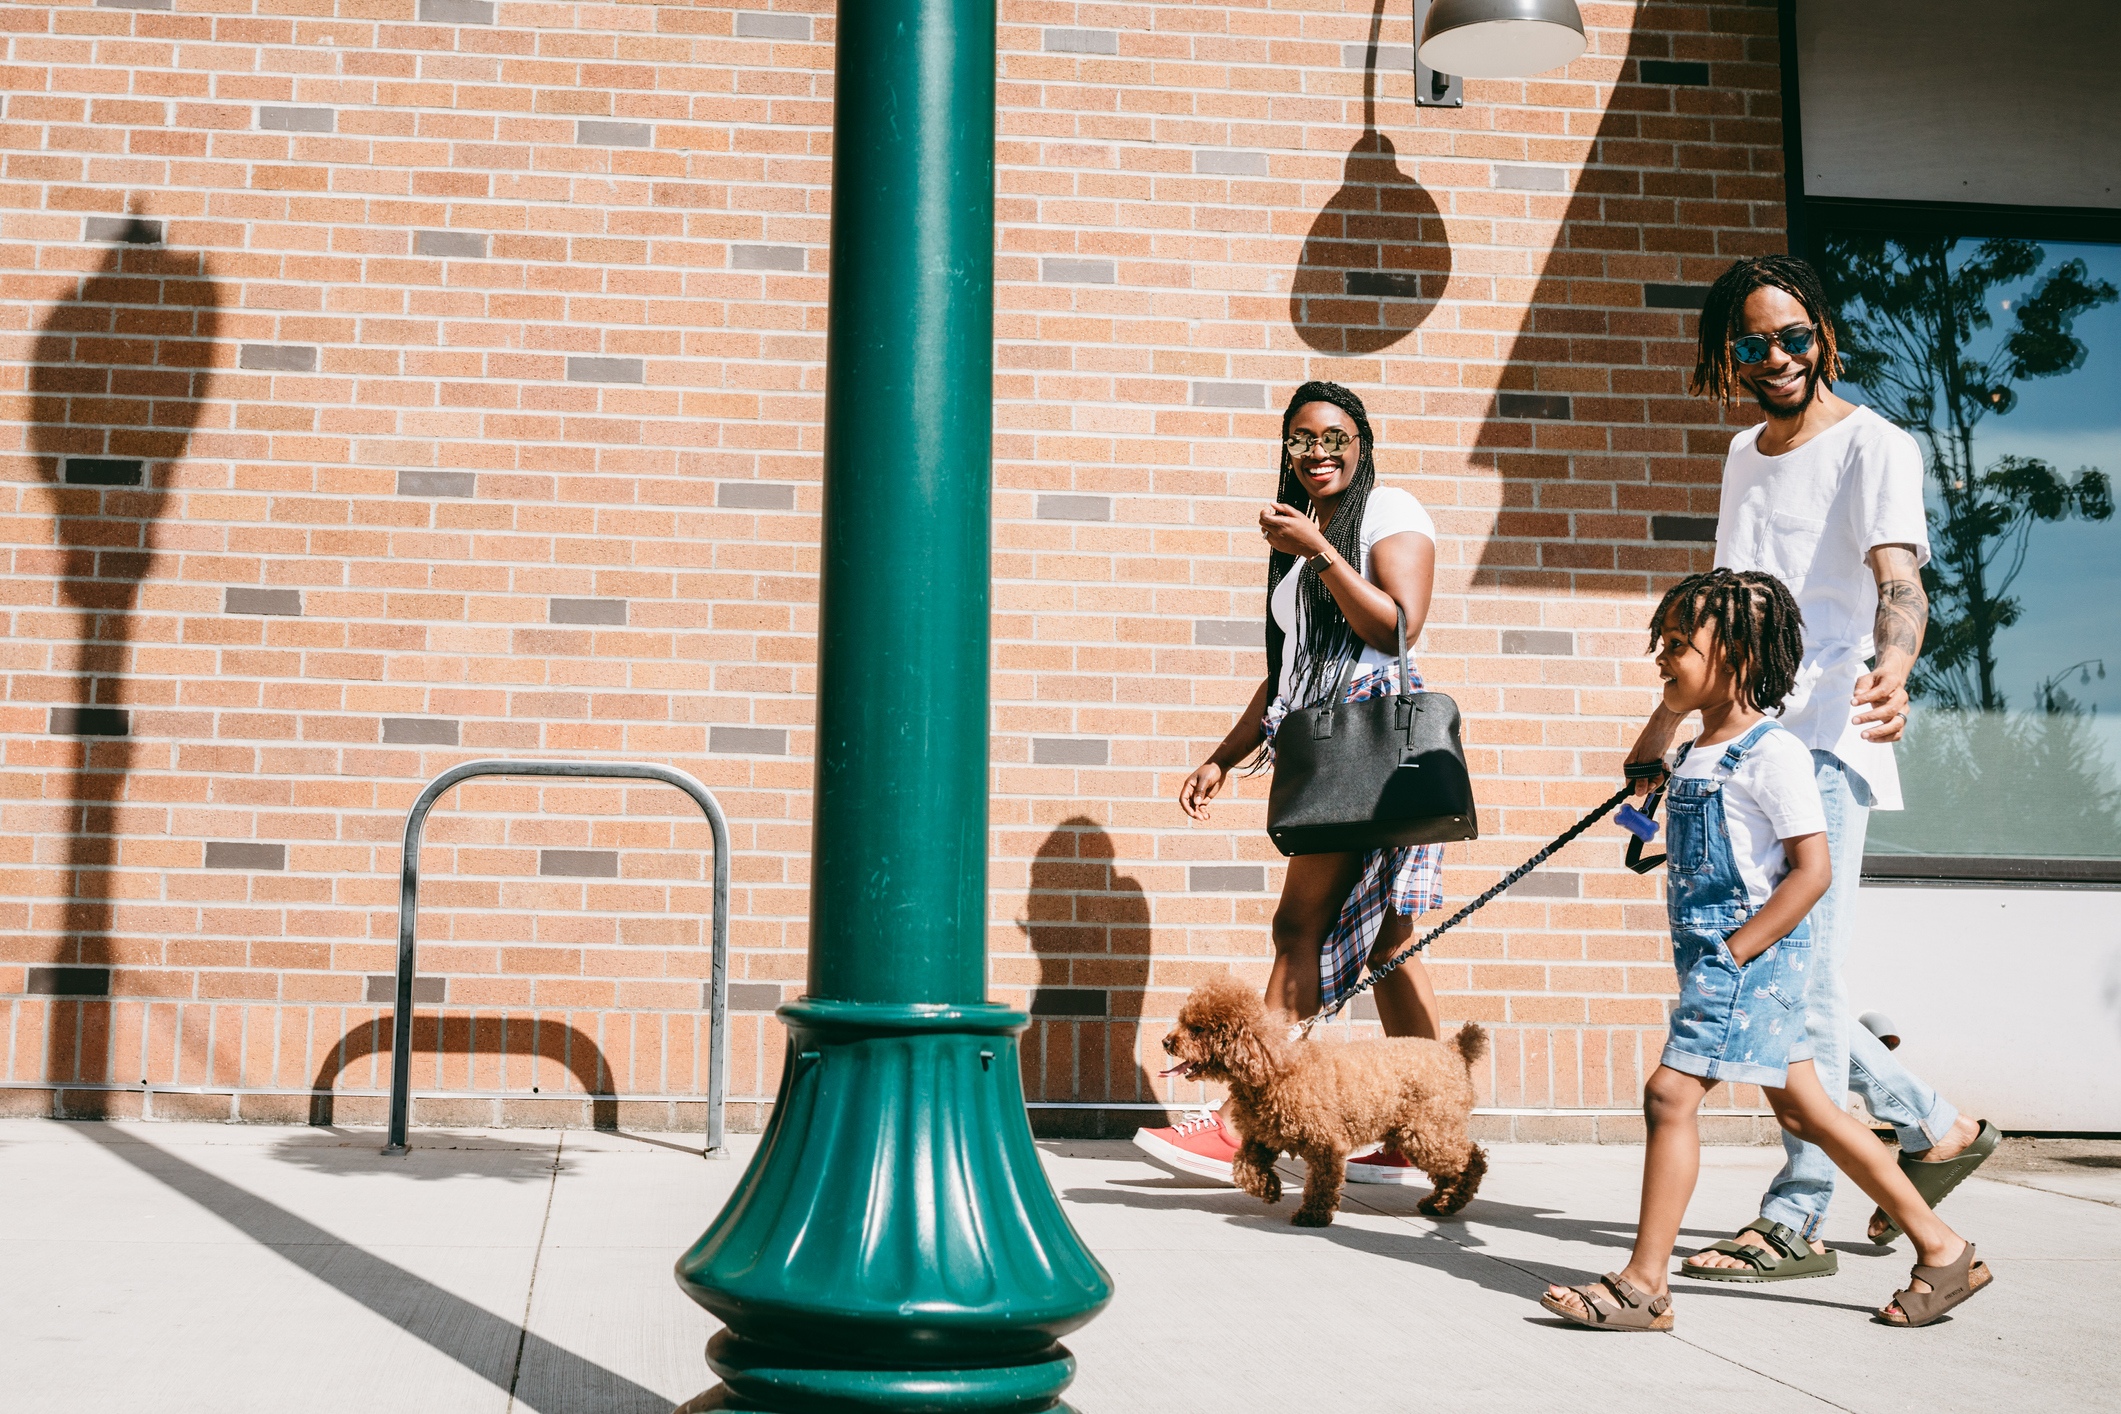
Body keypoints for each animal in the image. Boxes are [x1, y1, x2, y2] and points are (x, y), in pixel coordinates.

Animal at [1162, 975, 1493, 1229]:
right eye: (1183, 1021)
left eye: (1197, 1029)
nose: (1166, 1042)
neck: (1273, 1068)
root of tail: (1454, 1051)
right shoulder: (1261, 1138)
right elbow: (1244, 1166)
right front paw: (1268, 1189)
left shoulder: (1327, 1143)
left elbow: (1323, 1181)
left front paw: (1312, 1216)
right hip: (1420, 1131)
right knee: (1452, 1169)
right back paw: (1439, 1203)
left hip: (1428, 1131)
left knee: (1471, 1160)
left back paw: (1449, 1201)